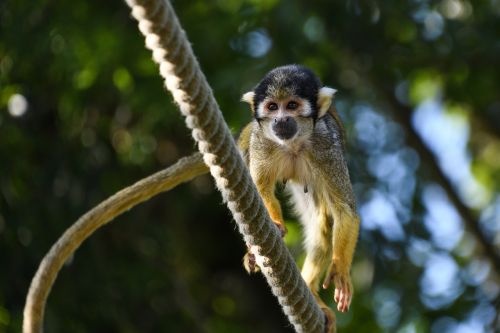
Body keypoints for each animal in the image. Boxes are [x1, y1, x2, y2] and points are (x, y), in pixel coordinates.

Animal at [238, 64, 360, 330]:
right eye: (273, 107)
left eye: (292, 105)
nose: (281, 119)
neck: (293, 144)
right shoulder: (261, 140)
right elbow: (260, 189)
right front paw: (276, 225)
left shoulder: (325, 144)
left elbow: (345, 210)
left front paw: (340, 268)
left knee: (324, 221)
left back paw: (312, 291)